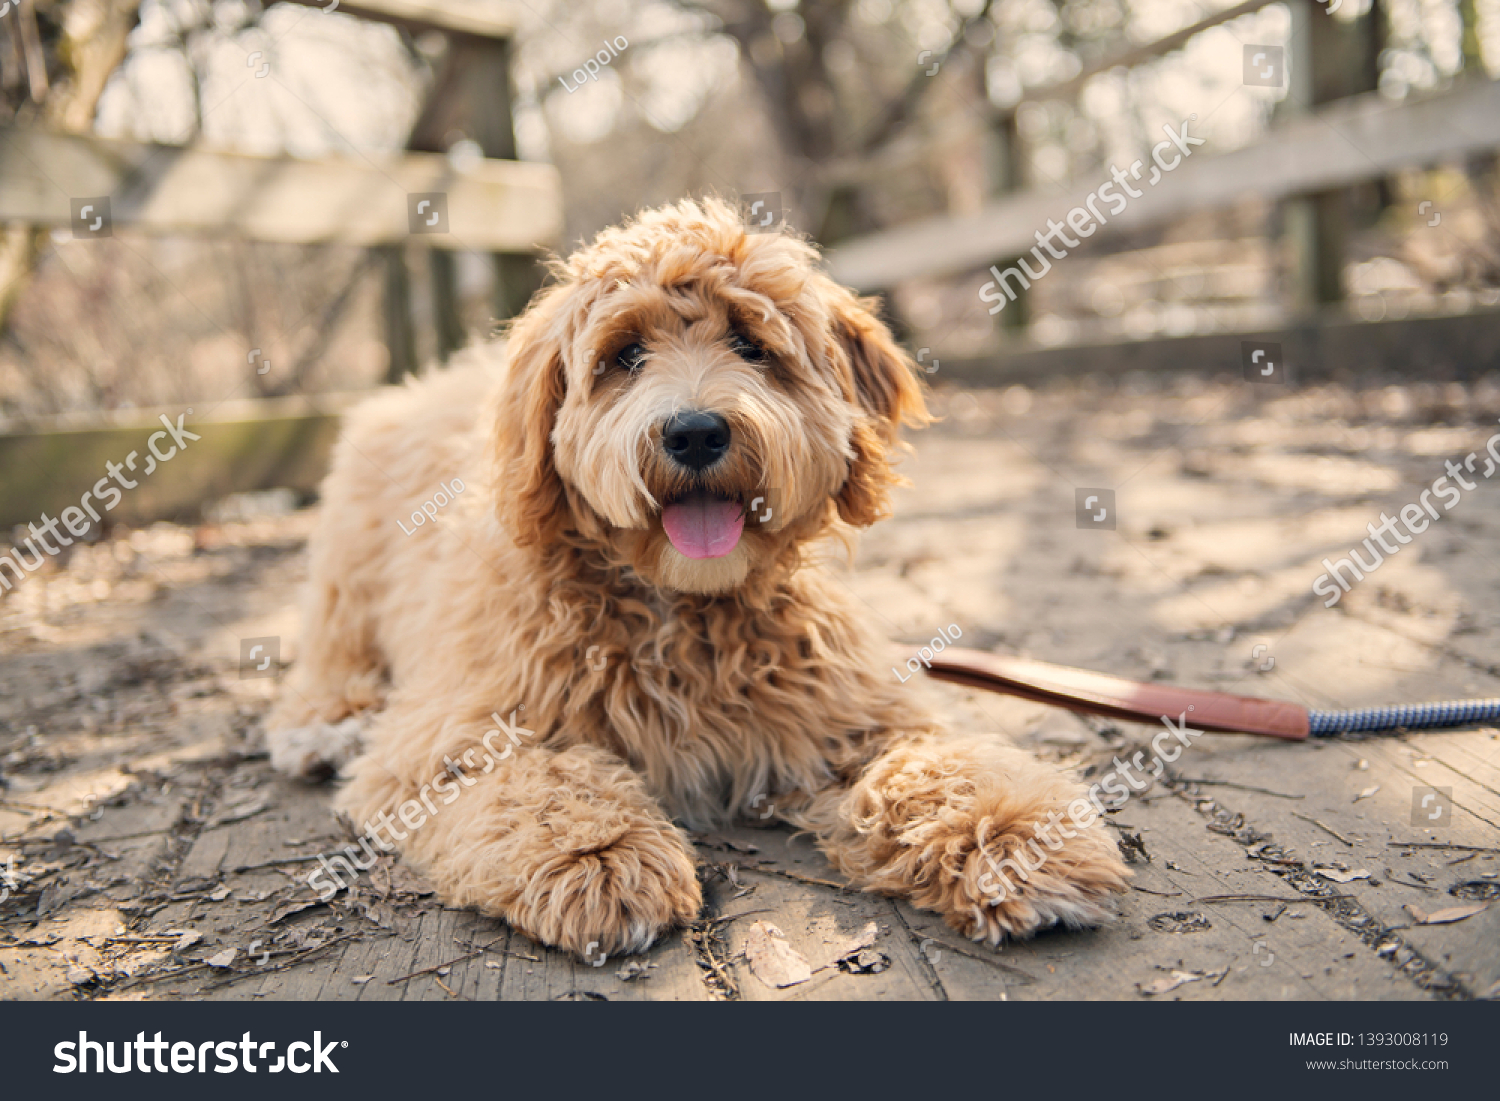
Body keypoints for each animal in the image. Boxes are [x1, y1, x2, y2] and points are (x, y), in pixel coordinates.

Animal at [264, 202, 1128, 960]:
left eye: (751, 343)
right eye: (624, 355)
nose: (695, 431)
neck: (681, 606)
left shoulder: (849, 712)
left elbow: (935, 765)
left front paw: (1017, 834)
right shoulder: (452, 731)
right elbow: (535, 780)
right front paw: (601, 856)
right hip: (349, 569)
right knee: (331, 650)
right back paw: (324, 724)